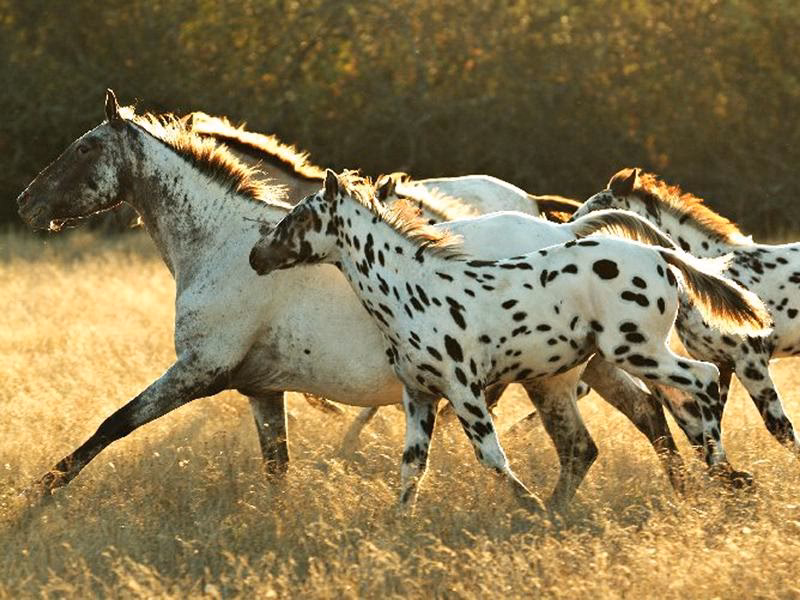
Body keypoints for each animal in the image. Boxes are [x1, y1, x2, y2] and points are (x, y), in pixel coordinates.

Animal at [13, 90, 671, 498]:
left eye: (85, 147)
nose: (26, 203)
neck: (224, 244)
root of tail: (566, 231)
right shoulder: (260, 390)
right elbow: (277, 470)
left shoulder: (198, 371)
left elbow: (110, 428)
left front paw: (31, 504)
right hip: (580, 369)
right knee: (636, 421)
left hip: (558, 376)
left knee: (616, 430)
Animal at [249, 170, 771, 511]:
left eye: (297, 218)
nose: (256, 256)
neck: (413, 289)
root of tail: (661, 255)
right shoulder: (419, 394)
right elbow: (412, 465)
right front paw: (397, 522)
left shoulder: (464, 390)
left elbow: (491, 455)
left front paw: (530, 509)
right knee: (616, 429)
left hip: (636, 350)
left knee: (701, 381)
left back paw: (724, 472)